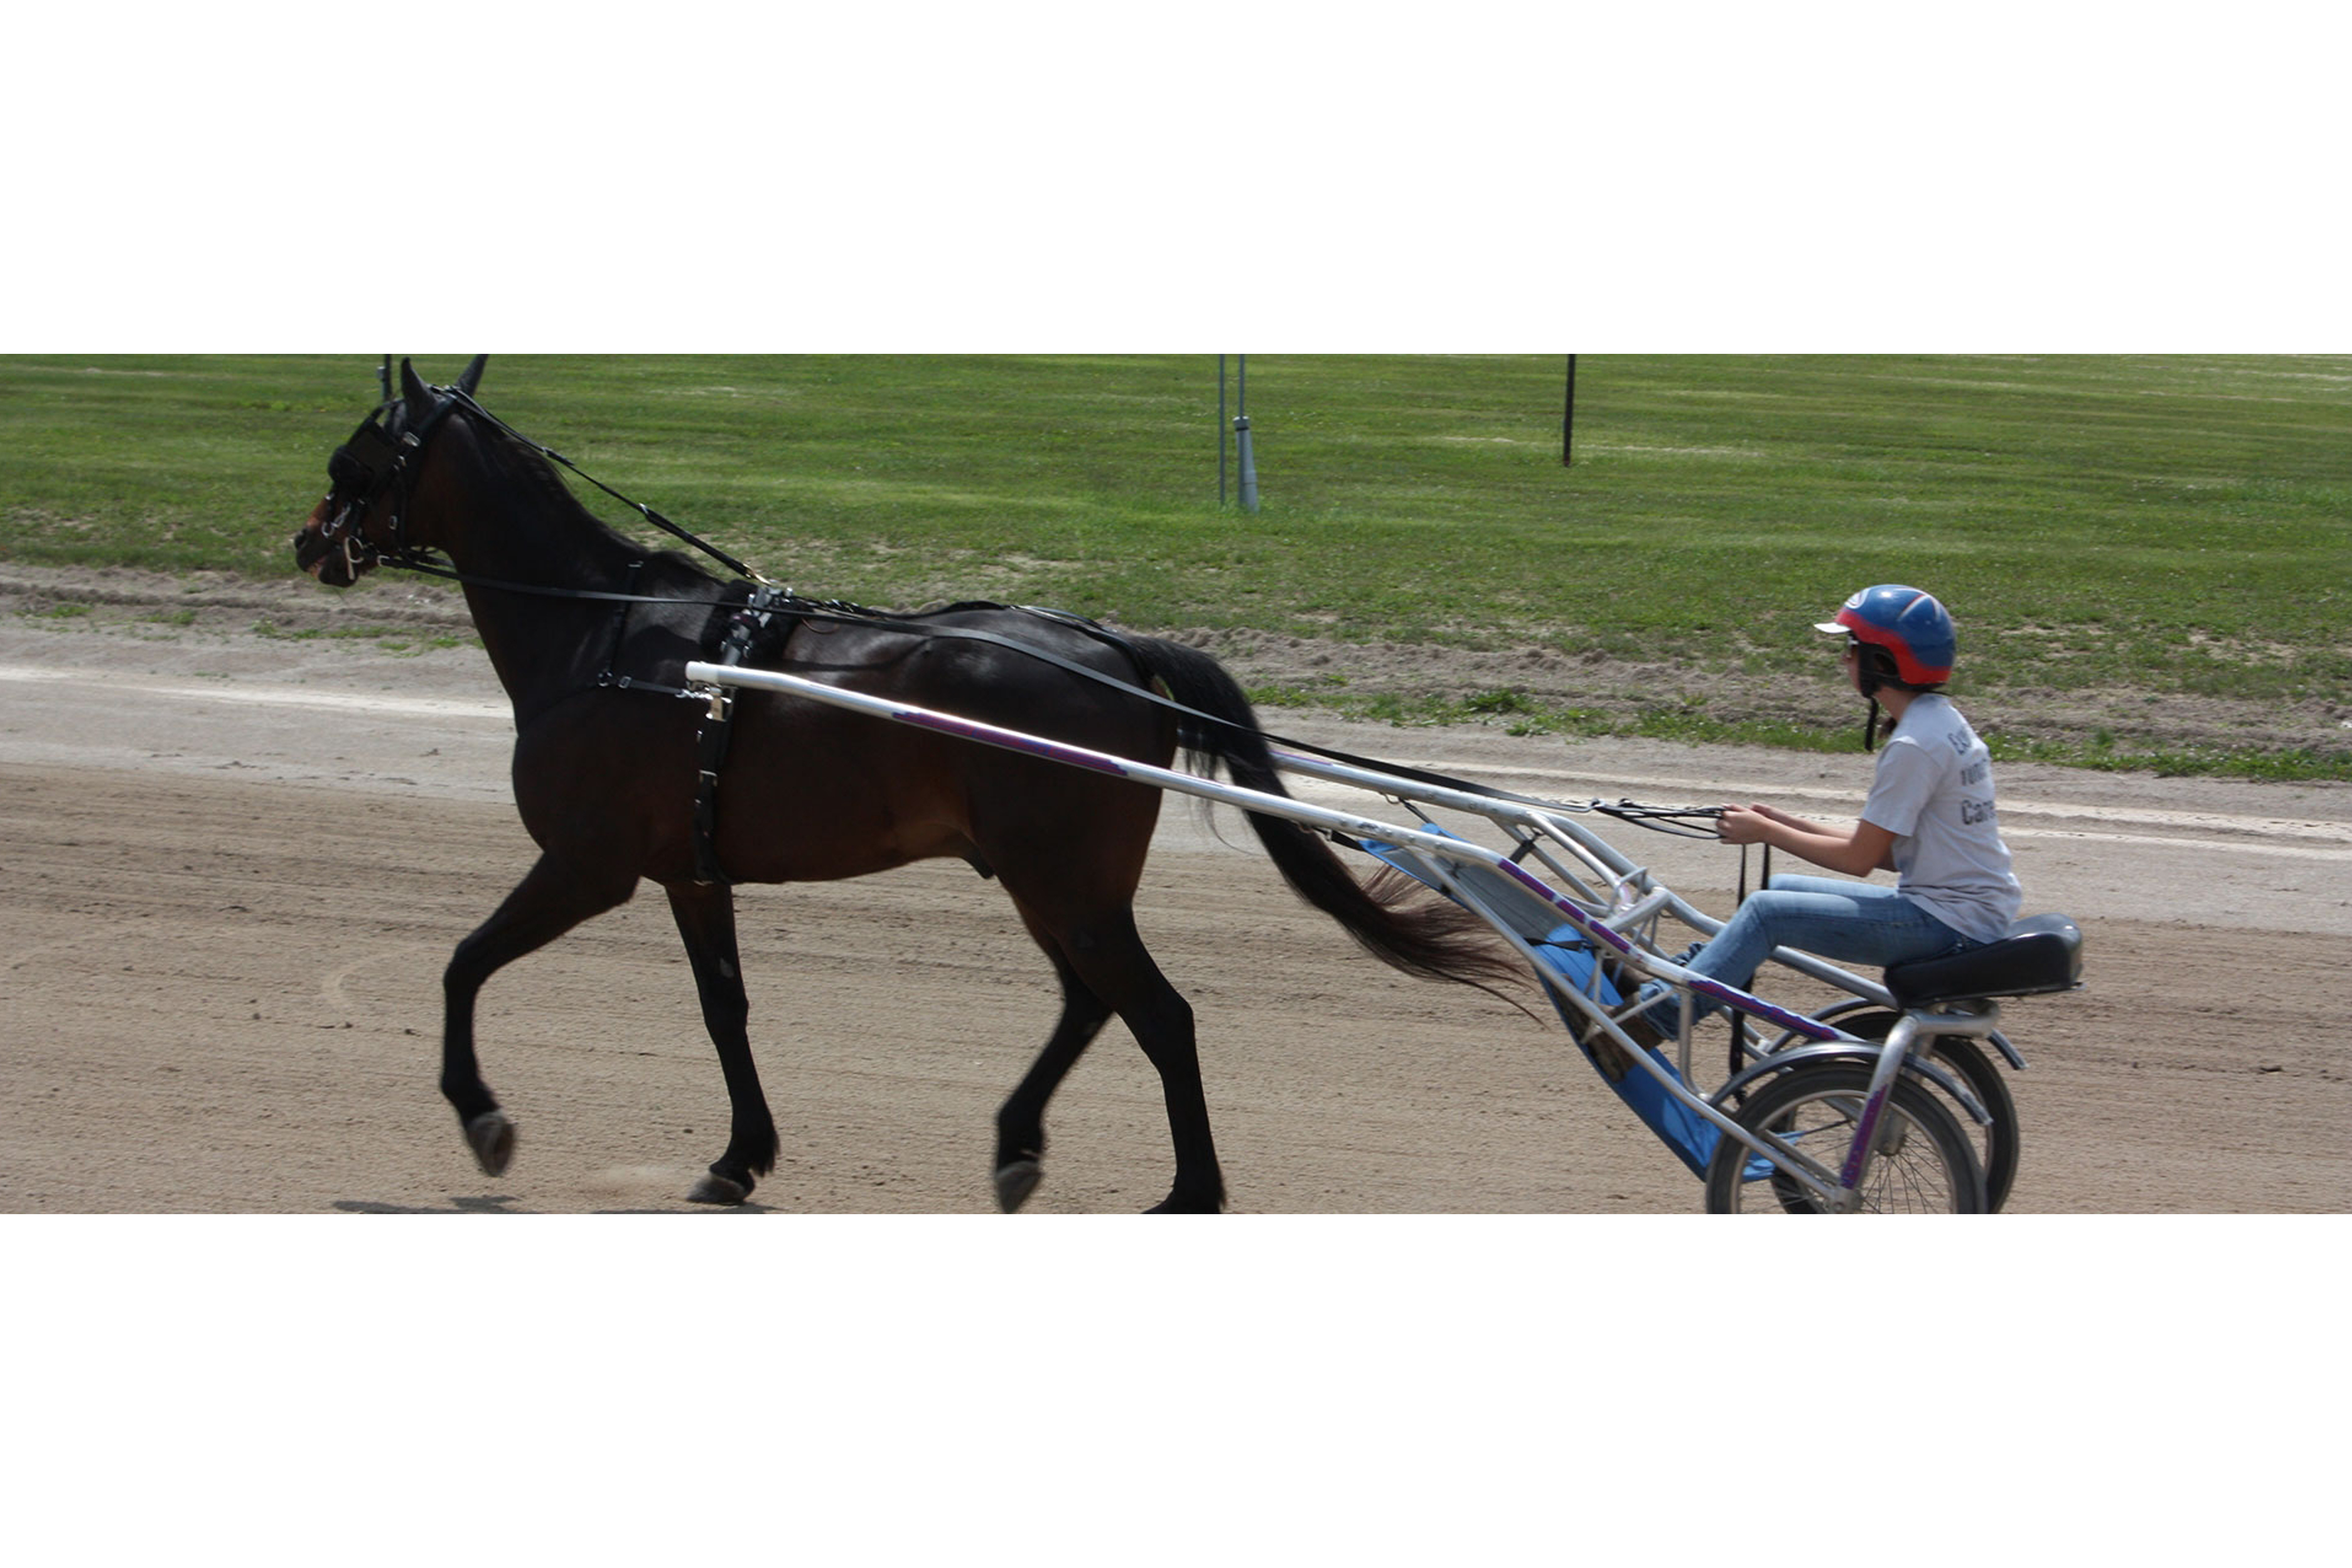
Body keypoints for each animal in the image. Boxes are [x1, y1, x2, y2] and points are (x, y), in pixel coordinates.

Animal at [294, 360, 1515, 1213]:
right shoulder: (690, 871)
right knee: (1093, 1001)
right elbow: (724, 1009)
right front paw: (740, 1157)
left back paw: (1190, 1190)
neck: (612, 638)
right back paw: (1019, 1142)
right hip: (1048, 881)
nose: (311, 542)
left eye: (354, 456)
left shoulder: (588, 862)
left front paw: (483, 1118)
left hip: (1061, 879)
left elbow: (463, 962)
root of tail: (1117, 651)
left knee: (1157, 1013)